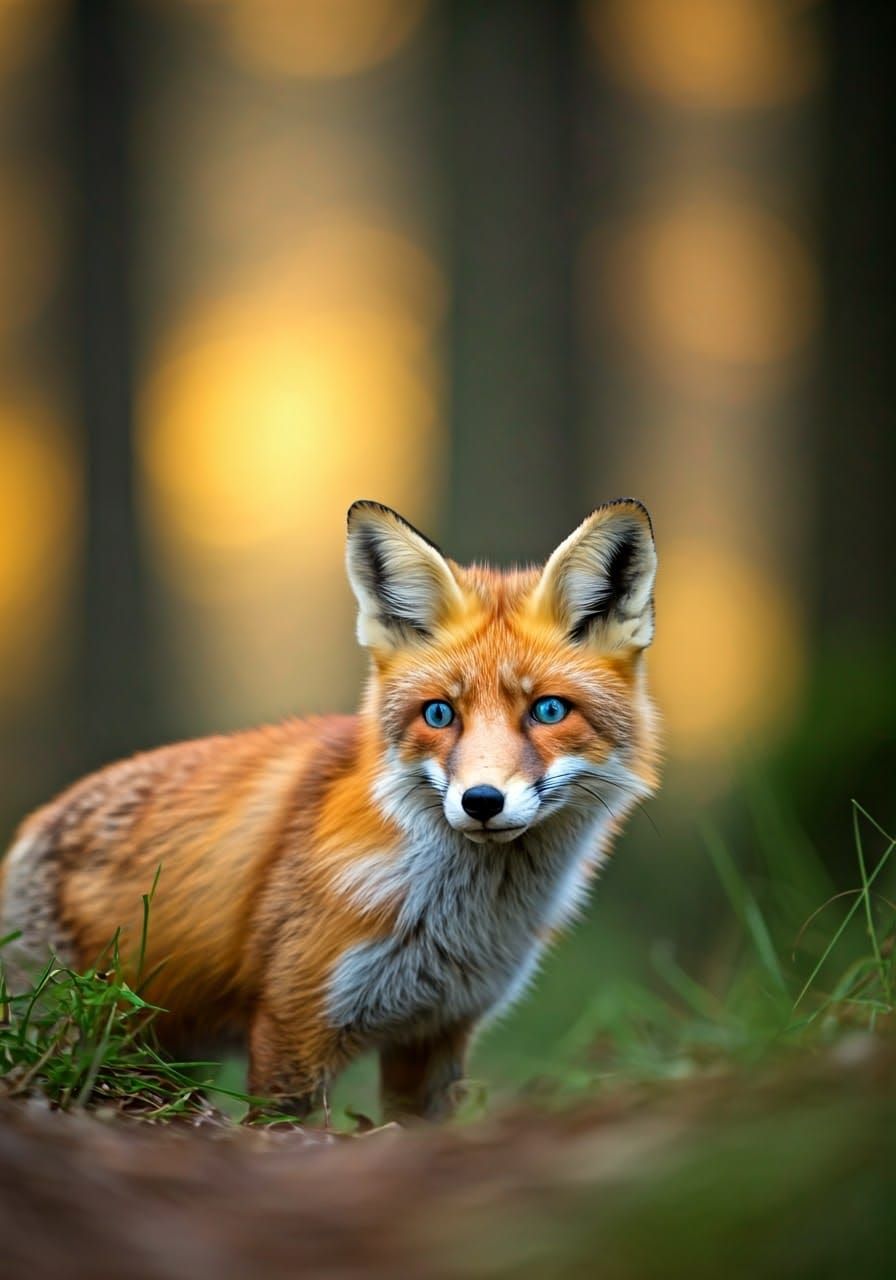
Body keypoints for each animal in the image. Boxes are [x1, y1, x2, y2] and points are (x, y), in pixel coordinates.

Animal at [0, 499, 659, 1122]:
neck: (458, 922)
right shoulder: (296, 1023)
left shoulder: (437, 1033)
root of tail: (31, 826)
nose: (480, 802)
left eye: (548, 711)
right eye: (439, 714)